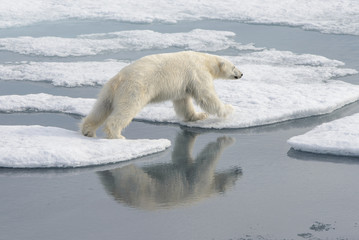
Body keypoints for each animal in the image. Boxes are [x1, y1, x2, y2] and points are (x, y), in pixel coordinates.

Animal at [81, 50, 243, 139]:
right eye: (234, 66)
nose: (241, 74)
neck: (204, 60)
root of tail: (119, 79)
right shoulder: (197, 72)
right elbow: (206, 96)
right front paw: (229, 109)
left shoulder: (183, 83)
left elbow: (183, 102)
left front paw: (197, 116)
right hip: (134, 89)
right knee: (126, 110)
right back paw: (117, 135)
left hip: (107, 91)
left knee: (100, 109)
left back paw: (88, 131)